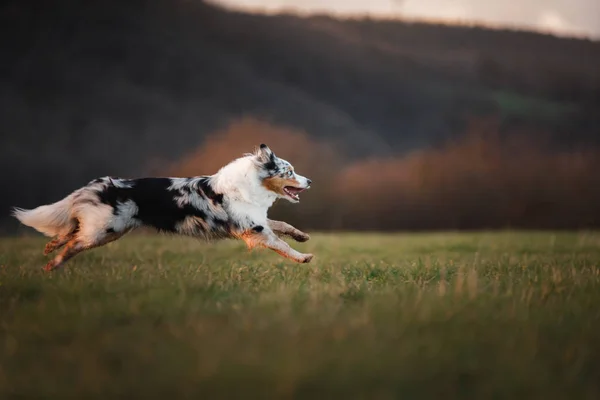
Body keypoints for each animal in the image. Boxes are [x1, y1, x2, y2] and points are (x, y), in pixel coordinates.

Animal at [11, 145, 314, 272]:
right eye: (289, 172)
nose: (310, 180)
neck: (250, 183)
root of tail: (97, 184)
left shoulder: (255, 221)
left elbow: (283, 226)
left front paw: (302, 236)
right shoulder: (254, 229)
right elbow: (282, 245)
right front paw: (303, 257)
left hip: (108, 230)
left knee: (70, 232)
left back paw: (50, 250)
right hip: (104, 230)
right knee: (73, 242)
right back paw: (52, 264)